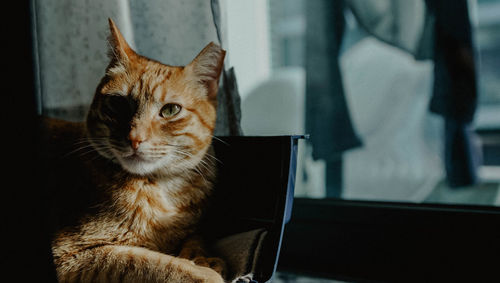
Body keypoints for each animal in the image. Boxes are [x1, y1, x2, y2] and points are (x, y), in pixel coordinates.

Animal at [46, 18, 227, 282]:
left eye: (170, 110)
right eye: (117, 103)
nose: (135, 138)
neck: (161, 189)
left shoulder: (192, 229)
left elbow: (196, 238)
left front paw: (205, 259)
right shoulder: (69, 255)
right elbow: (149, 261)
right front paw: (203, 271)